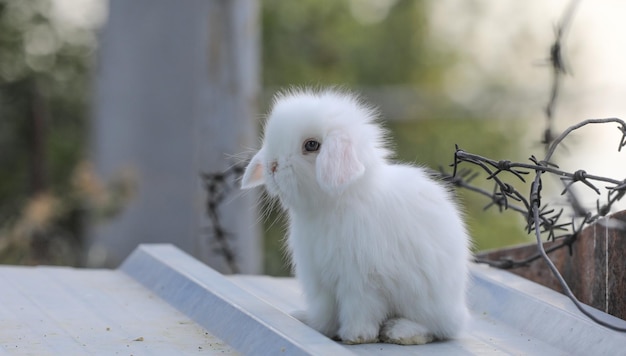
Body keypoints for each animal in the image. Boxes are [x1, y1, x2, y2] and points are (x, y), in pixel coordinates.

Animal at [241, 87, 470, 344]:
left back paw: (399, 331)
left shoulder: (361, 281)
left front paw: (355, 336)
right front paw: (318, 327)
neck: (334, 205)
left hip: (425, 302)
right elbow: (325, 310)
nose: (272, 166)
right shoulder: (320, 281)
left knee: (436, 329)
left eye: (311, 145)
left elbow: (360, 309)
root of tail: (459, 312)